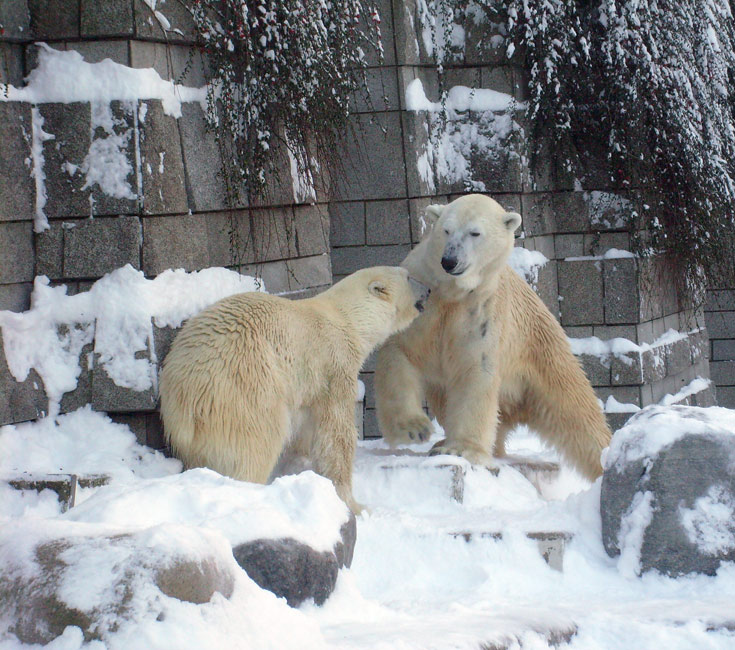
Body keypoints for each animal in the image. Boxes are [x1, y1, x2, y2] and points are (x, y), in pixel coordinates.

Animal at [158, 264, 428, 512]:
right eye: (407, 276)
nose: (428, 288)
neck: (348, 318)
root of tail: (185, 391)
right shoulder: (334, 365)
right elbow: (336, 434)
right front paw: (354, 504)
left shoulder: (307, 388)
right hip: (245, 388)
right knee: (255, 446)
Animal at [376, 192, 612, 476]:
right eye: (446, 230)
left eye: (475, 233)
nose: (449, 261)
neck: (452, 291)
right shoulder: (421, 295)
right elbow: (401, 350)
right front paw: (415, 429)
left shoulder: (482, 309)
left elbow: (475, 370)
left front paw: (460, 450)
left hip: (541, 347)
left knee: (575, 408)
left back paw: (605, 457)